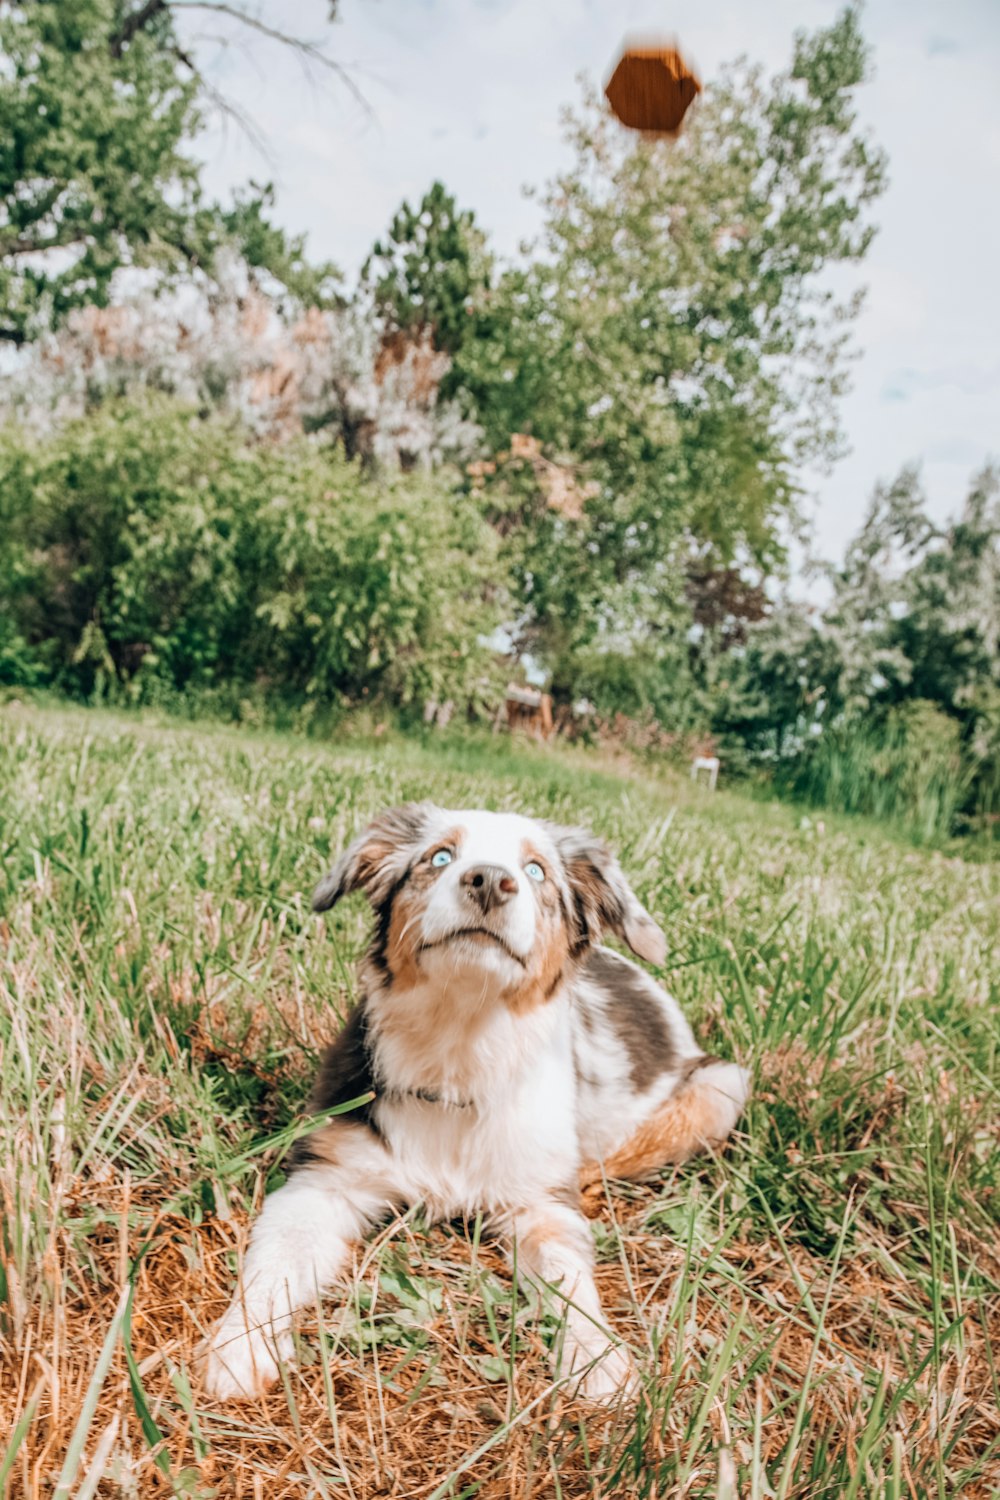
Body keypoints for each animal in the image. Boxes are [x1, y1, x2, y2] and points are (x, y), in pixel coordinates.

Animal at [203, 804, 746, 1398]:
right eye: (440, 857)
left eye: (536, 871)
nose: (489, 880)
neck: (459, 1049)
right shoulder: (325, 1177)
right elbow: (274, 1260)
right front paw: (241, 1344)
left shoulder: (541, 1203)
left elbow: (573, 1281)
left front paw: (597, 1357)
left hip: (723, 1086)